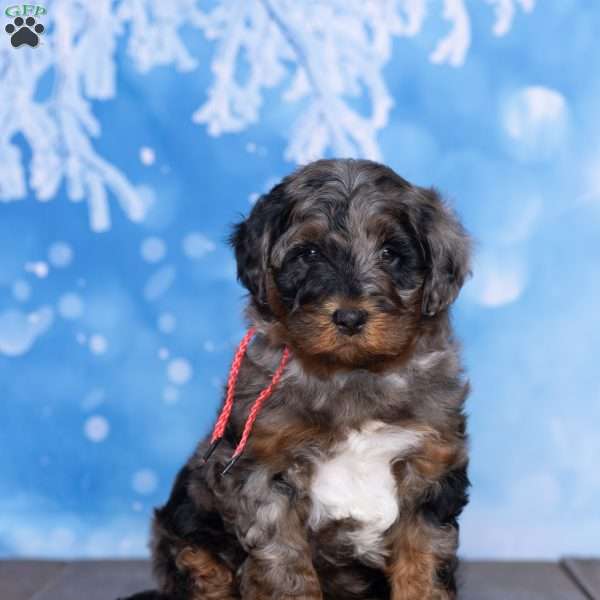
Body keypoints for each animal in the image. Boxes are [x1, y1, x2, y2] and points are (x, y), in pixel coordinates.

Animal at [127, 158, 474, 600]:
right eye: (308, 253)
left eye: (390, 253)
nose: (349, 317)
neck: (349, 375)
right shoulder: (263, 474)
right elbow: (284, 566)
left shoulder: (430, 469)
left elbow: (424, 564)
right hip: (188, 537)